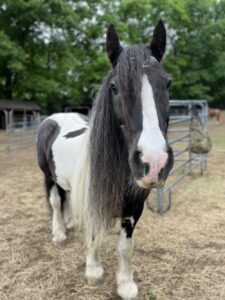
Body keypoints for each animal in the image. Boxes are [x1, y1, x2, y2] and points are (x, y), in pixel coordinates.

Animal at [37, 20, 174, 300]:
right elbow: (93, 235)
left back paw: (69, 223)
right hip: (48, 176)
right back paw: (59, 233)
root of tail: (54, 118)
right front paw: (93, 271)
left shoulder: (134, 208)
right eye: (114, 88)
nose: (154, 162)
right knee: (55, 202)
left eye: (167, 83)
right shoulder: (93, 201)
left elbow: (125, 247)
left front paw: (125, 284)